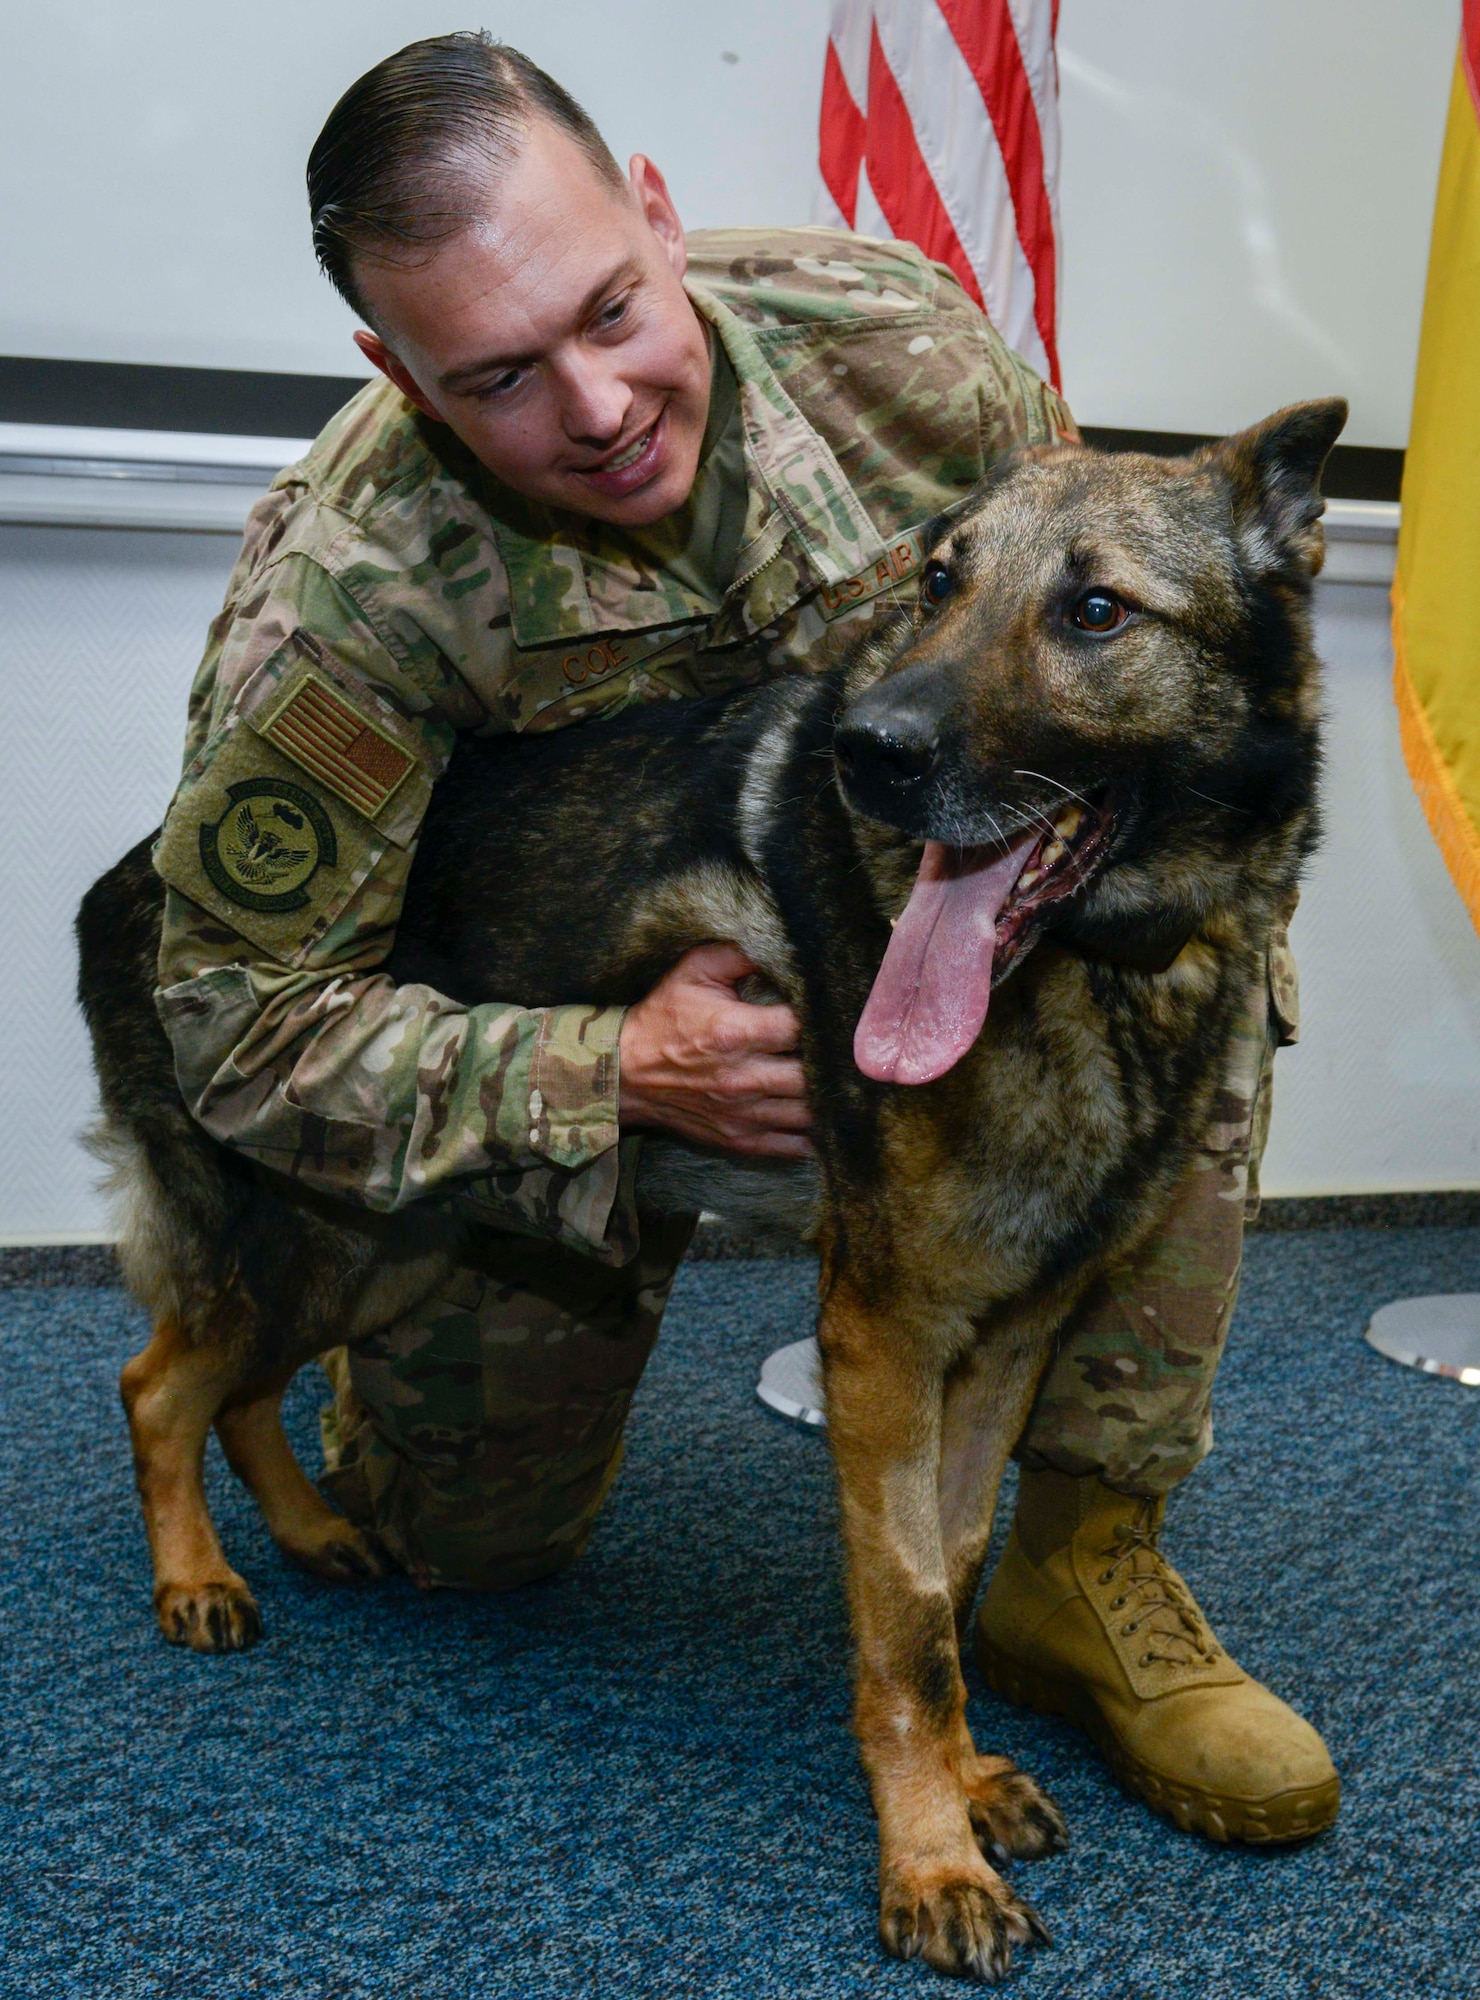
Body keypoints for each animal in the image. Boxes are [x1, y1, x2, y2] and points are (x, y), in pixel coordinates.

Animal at [78, 398, 1344, 1976]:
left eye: (1096, 611)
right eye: (939, 581)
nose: (867, 750)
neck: (1095, 972)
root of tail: (144, 878)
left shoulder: (1002, 1338)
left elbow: (957, 1553)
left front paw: (968, 1783)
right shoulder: (882, 1337)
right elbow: (908, 1613)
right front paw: (930, 1859)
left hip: (396, 1244)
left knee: (239, 1386)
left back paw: (308, 1529)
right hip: (319, 1237)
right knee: (158, 1381)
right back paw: (196, 1573)